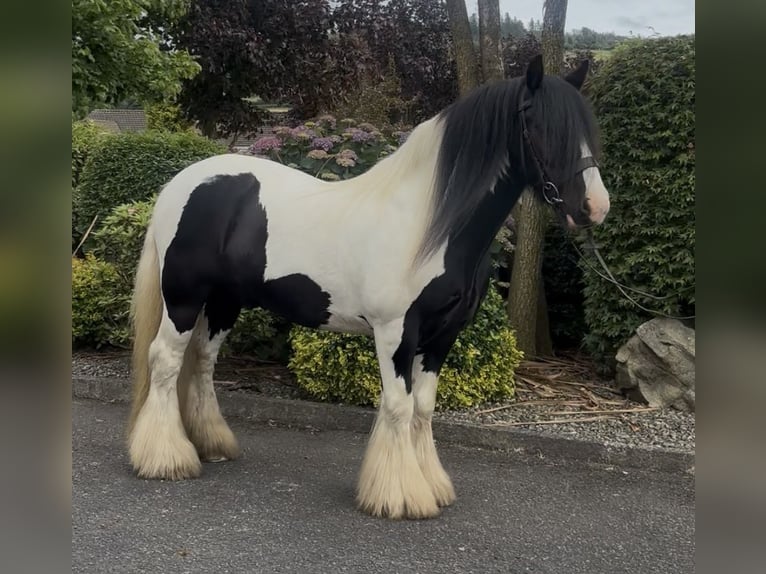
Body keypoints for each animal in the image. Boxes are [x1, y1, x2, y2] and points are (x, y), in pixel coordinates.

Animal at [126, 55, 610, 520]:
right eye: (541, 126)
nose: (595, 207)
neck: (427, 226)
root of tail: (180, 184)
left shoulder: (442, 335)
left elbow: (423, 407)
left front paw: (431, 484)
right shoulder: (395, 331)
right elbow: (398, 405)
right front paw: (401, 497)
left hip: (224, 301)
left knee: (202, 362)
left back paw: (211, 444)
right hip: (184, 299)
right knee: (165, 359)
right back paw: (166, 459)